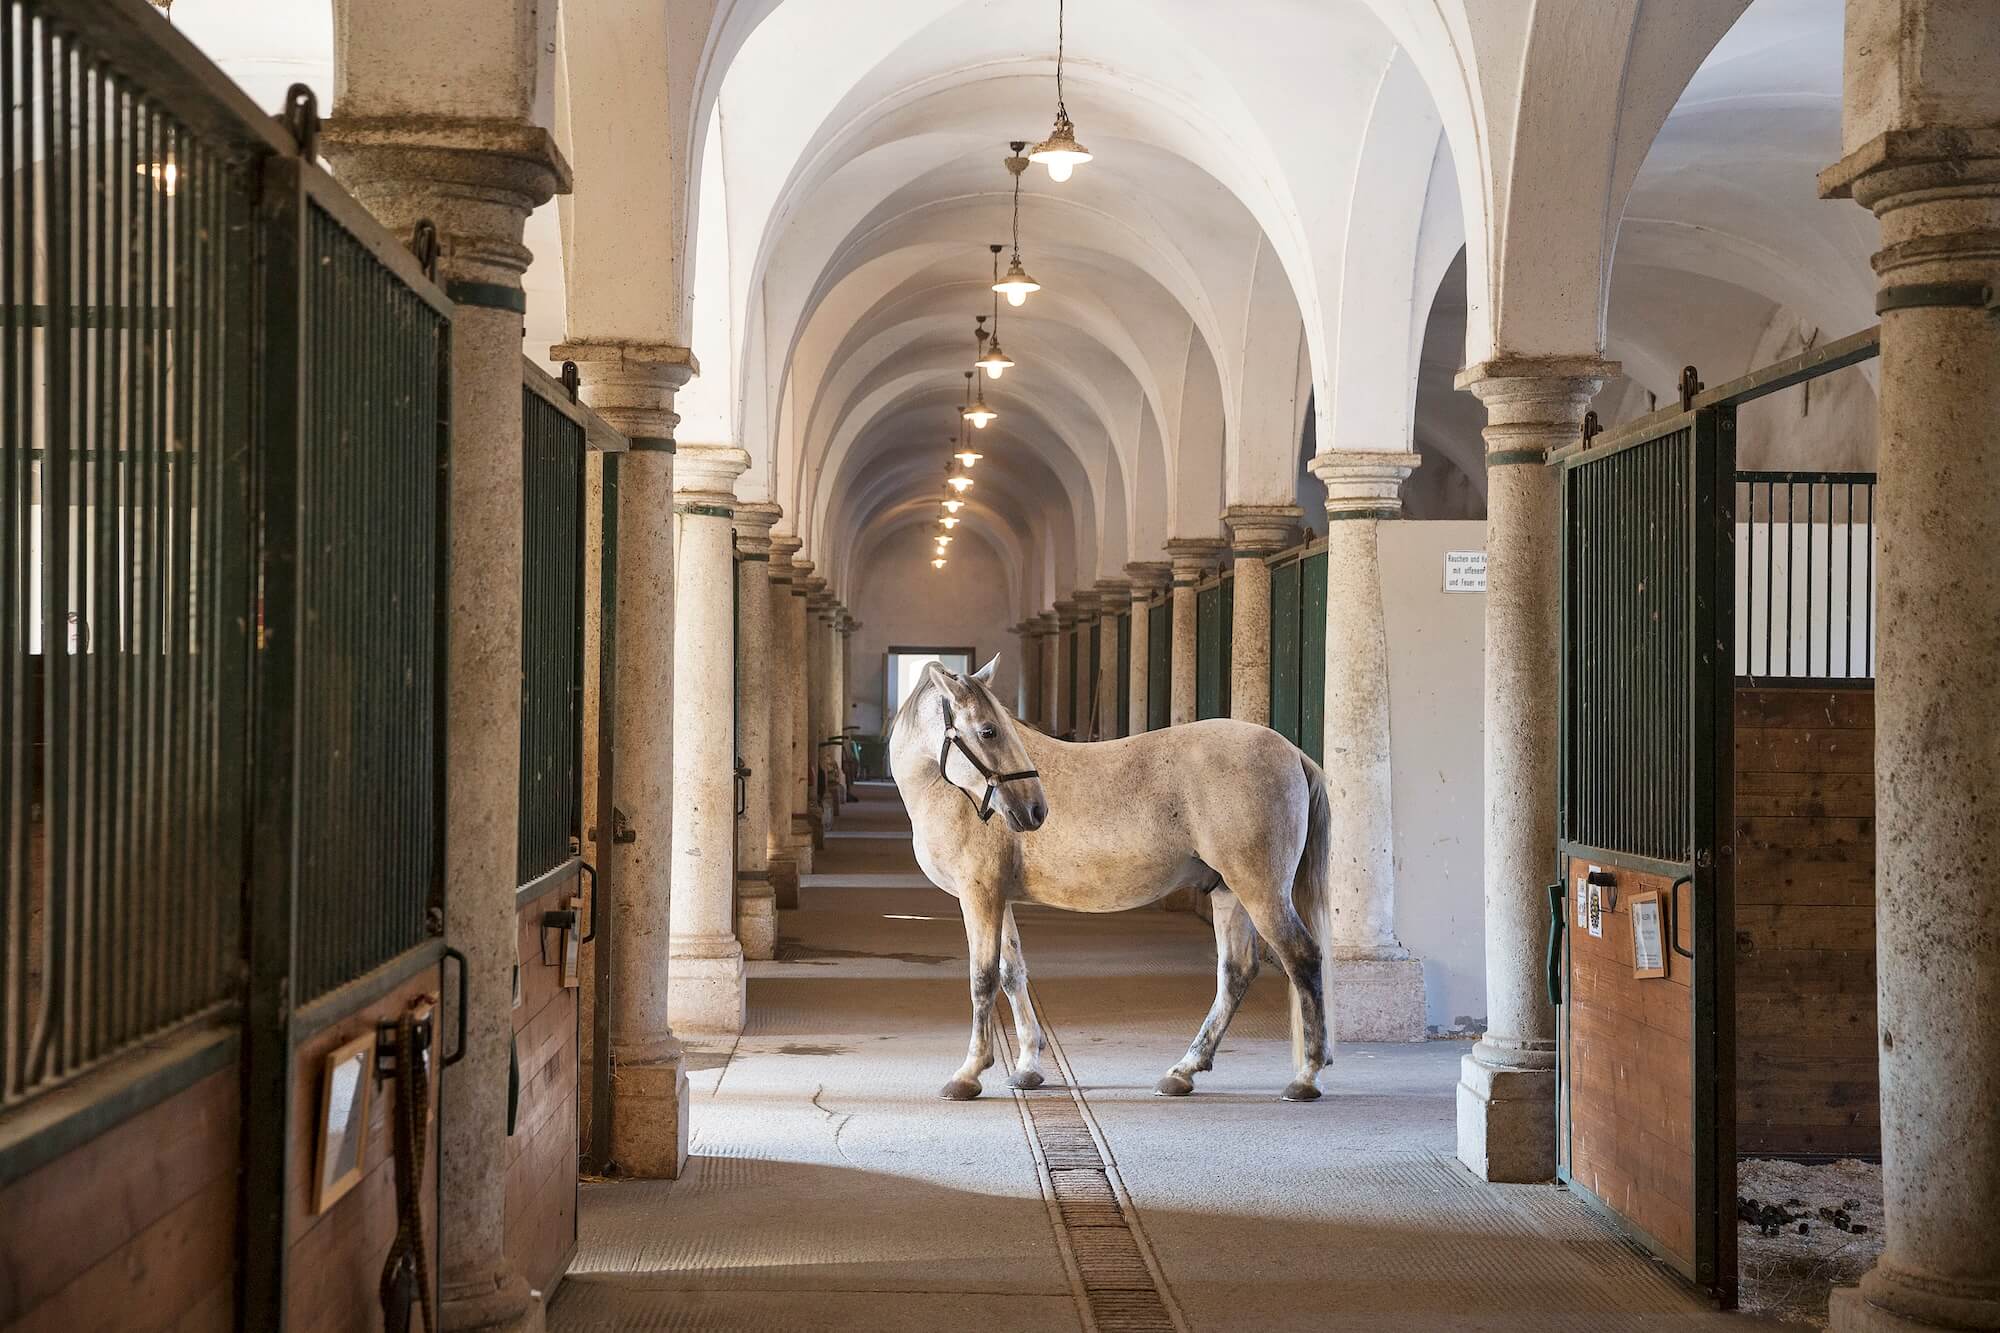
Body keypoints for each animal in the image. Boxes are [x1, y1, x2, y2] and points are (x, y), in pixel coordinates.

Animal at [888, 648, 1328, 1096]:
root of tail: (1291, 751)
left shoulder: (979, 894)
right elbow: (1012, 974)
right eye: (990, 731)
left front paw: (969, 1073)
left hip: (1261, 891)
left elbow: (983, 979)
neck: (948, 792)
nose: (1035, 810)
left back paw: (1305, 1077)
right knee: (1236, 973)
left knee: (1303, 958)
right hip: (1228, 892)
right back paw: (1183, 1071)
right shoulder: (997, 897)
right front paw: (1028, 1066)